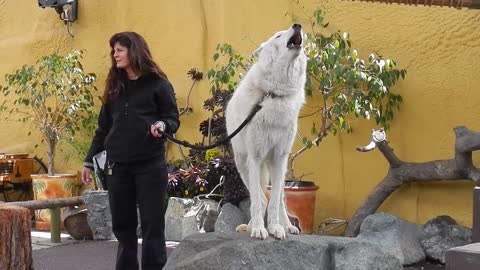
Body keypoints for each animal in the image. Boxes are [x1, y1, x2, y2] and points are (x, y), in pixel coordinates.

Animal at [226, 24, 308, 239]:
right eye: (278, 36)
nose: (297, 25)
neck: (274, 94)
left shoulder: (279, 158)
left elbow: (274, 202)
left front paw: (276, 228)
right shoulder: (254, 158)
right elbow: (257, 199)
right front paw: (257, 229)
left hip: (277, 167)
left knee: (279, 199)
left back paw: (288, 226)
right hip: (243, 164)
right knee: (260, 196)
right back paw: (250, 226)